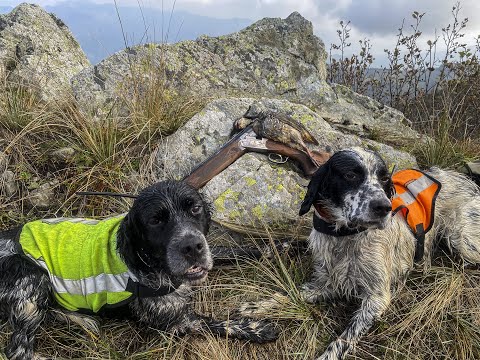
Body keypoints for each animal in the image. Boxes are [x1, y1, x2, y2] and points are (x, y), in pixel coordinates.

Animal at [0, 181, 278, 358]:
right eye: (155, 220)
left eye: (195, 208)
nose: (191, 247)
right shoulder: (175, 322)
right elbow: (216, 322)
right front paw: (257, 328)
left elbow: (228, 251)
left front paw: (274, 248)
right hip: (32, 277)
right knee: (19, 351)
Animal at [242, 147, 480, 360]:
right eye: (351, 175)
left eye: (384, 178)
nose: (383, 207)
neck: (345, 237)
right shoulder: (328, 282)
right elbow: (291, 293)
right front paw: (258, 306)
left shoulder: (377, 298)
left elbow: (344, 338)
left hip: (463, 241)